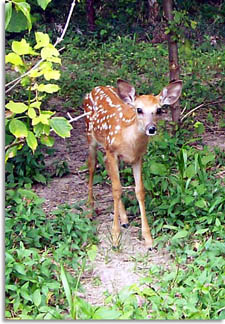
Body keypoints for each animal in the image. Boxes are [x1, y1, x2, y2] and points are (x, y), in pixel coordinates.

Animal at [83, 79, 182, 251]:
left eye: (159, 110)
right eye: (139, 109)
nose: (151, 128)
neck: (129, 142)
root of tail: (95, 89)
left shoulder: (137, 158)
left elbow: (139, 191)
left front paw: (148, 240)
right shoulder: (112, 151)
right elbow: (116, 190)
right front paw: (115, 239)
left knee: (107, 169)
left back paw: (124, 219)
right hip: (91, 136)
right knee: (92, 166)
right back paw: (90, 211)